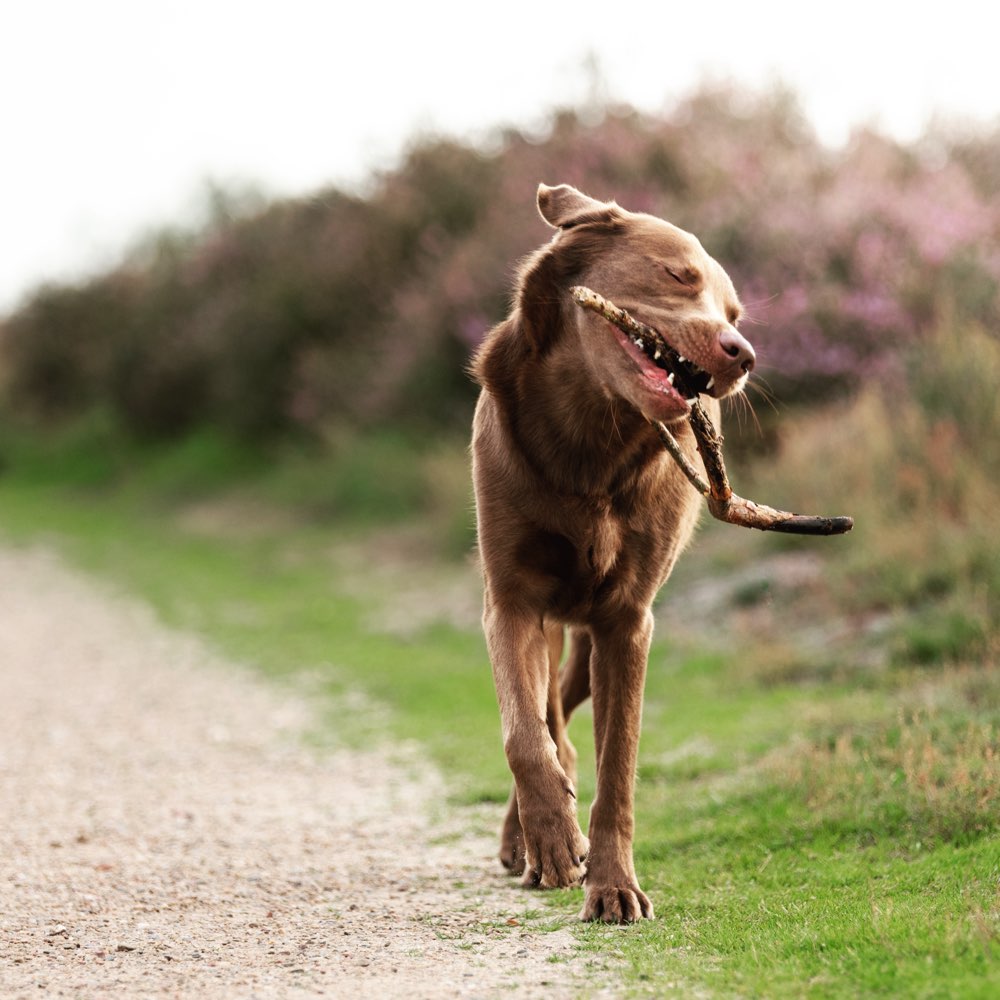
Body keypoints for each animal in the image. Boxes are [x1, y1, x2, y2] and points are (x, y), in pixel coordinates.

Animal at [472, 182, 752, 920]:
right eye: (678, 276)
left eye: (735, 313)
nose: (743, 355)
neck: (589, 436)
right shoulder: (511, 603)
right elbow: (524, 735)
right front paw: (550, 836)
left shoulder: (626, 621)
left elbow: (617, 767)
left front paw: (613, 885)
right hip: (551, 625)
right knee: (548, 720)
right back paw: (529, 839)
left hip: (586, 640)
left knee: (567, 714)